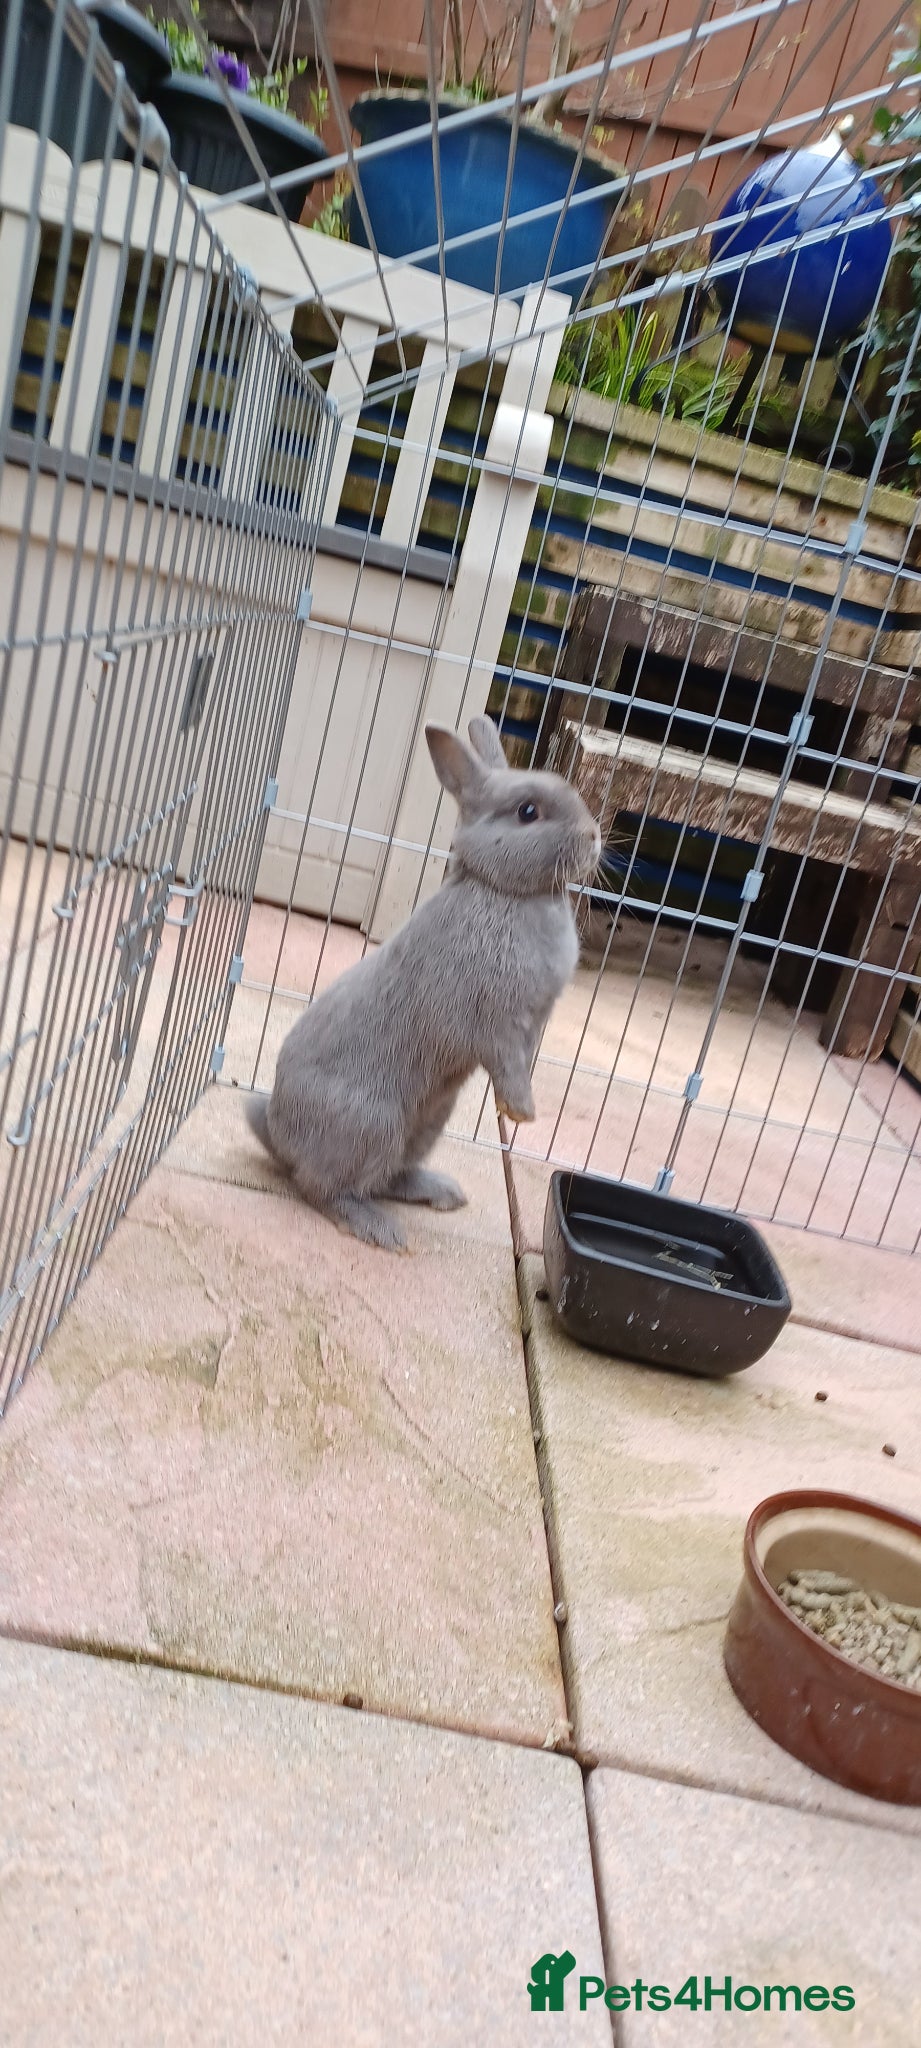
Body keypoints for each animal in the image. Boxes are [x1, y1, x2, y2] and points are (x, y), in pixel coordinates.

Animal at [245, 714, 601, 1250]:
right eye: (528, 811)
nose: (595, 836)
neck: (504, 892)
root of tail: (276, 1133)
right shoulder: (495, 1021)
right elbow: (506, 1063)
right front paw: (522, 1113)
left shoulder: (533, 1024)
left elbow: (524, 1060)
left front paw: (516, 1109)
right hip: (372, 1124)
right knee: (321, 1187)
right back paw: (380, 1230)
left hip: (428, 1122)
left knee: (386, 1175)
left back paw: (442, 1194)